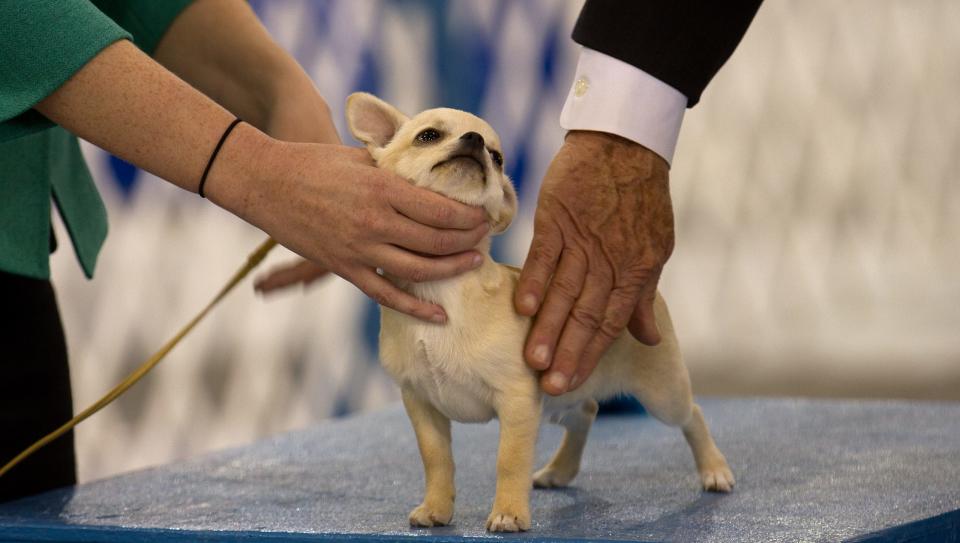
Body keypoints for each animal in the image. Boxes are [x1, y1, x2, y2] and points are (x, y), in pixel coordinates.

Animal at [344, 92, 736, 532]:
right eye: (428, 136)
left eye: (497, 157)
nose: (474, 140)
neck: (444, 290)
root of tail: (647, 295)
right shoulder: (422, 405)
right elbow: (437, 461)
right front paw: (436, 508)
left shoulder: (517, 404)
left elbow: (508, 461)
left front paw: (509, 512)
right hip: (561, 396)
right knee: (587, 411)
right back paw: (560, 470)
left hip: (662, 393)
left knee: (693, 415)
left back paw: (715, 470)